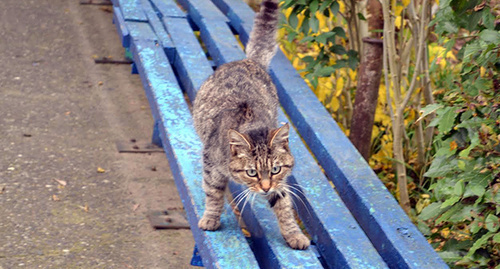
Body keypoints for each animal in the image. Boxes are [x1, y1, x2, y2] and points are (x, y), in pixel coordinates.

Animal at [191, 0, 308, 249]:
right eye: (252, 172)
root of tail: (249, 60)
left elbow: (284, 204)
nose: (264, 187)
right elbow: (214, 193)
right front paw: (211, 218)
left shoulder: (279, 184)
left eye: (275, 169)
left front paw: (294, 234)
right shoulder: (211, 164)